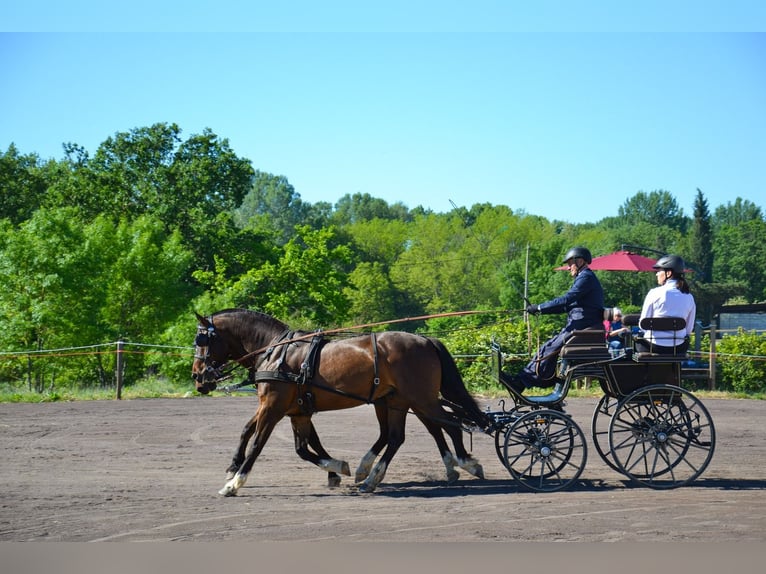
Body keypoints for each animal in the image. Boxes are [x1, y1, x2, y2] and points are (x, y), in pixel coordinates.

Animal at [194, 310, 492, 496]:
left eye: (201, 339)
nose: (198, 377)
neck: (276, 353)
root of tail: (425, 339)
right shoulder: (296, 410)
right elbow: (297, 445)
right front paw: (336, 469)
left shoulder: (274, 407)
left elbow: (259, 443)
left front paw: (234, 483)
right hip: (397, 401)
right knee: (399, 435)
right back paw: (371, 475)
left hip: (421, 398)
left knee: (448, 425)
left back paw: (465, 463)